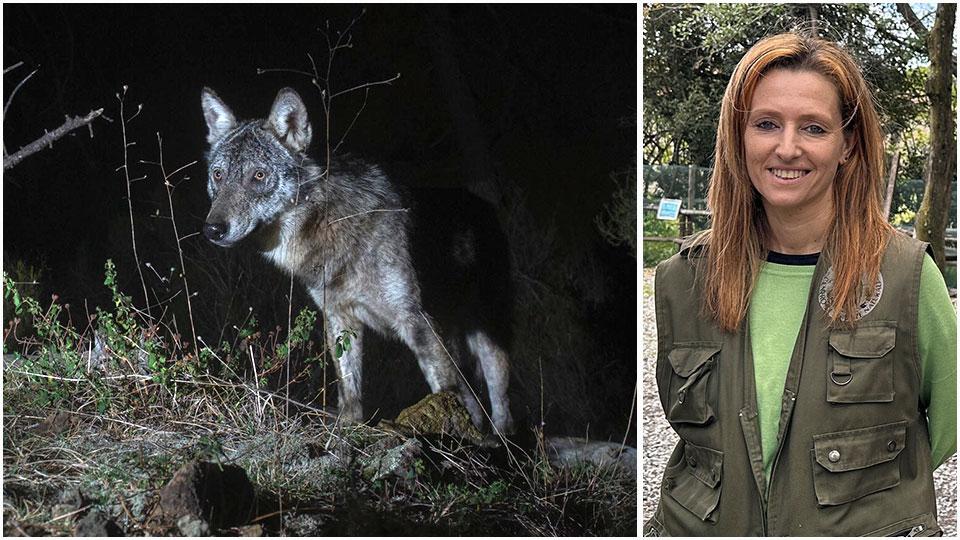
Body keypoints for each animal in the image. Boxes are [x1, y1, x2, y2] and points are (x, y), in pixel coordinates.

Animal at [200, 87, 515, 435]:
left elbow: (443, 389)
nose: (213, 229)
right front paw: (348, 429)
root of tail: (485, 206)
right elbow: (349, 389)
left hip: (487, 337)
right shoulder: (340, 317)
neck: (327, 225)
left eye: (258, 175)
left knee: (500, 401)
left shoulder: (417, 322)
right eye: (218, 175)